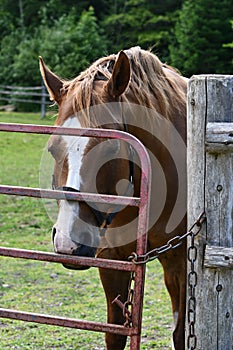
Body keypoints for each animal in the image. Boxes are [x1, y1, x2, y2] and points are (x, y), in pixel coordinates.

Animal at [39, 47, 187, 350]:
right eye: (52, 149)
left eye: (110, 148)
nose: (69, 242)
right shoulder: (112, 261)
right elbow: (115, 334)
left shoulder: (180, 258)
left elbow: (179, 334)